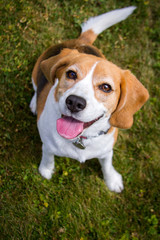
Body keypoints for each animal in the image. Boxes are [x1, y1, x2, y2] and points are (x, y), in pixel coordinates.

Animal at [30, 6, 149, 192]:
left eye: (106, 87)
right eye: (71, 74)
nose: (74, 102)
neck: (82, 138)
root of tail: (80, 42)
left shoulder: (107, 150)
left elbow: (107, 164)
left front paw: (112, 180)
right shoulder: (47, 143)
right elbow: (48, 155)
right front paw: (46, 170)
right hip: (37, 70)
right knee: (36, 87)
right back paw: (35, 103)